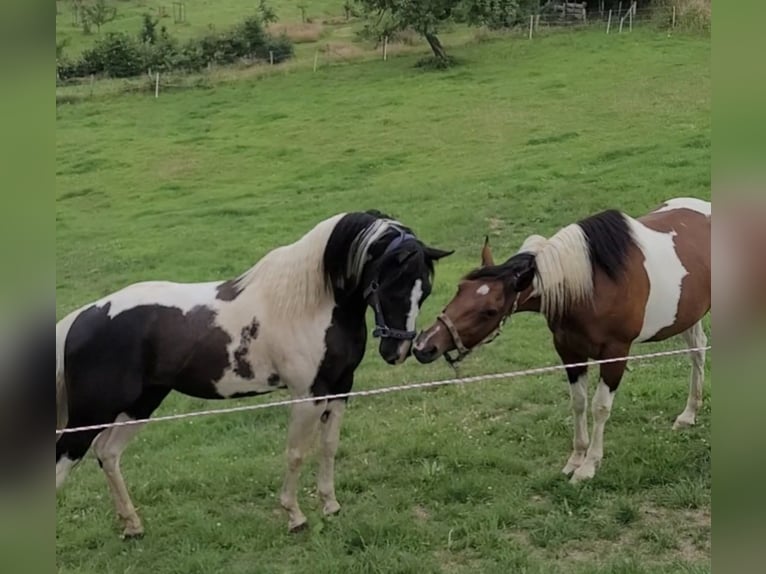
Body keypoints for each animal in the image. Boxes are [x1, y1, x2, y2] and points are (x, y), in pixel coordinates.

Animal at [57, 213, 452, 540]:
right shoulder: (307, 396)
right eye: (392, 285)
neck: (310, 304)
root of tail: (80, 319)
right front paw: (295, 516)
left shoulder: (340, 390)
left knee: (107, 453)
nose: (397, 352)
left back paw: (133, 526)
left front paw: (330, 505)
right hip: (92, 414)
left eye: (425, 290)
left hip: (141, 404)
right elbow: (296, 453)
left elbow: (328, 447)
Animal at [414, 199, 712, 486]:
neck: (592, 285)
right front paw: (575, 460)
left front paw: (589, 467)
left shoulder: (615, 354)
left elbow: (600, 407)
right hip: (688, 316)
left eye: (489, 310)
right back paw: (688, 414)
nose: (424, 346)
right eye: (460, 288)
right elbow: (578, 402)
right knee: (697, 352)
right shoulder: (569, 351)